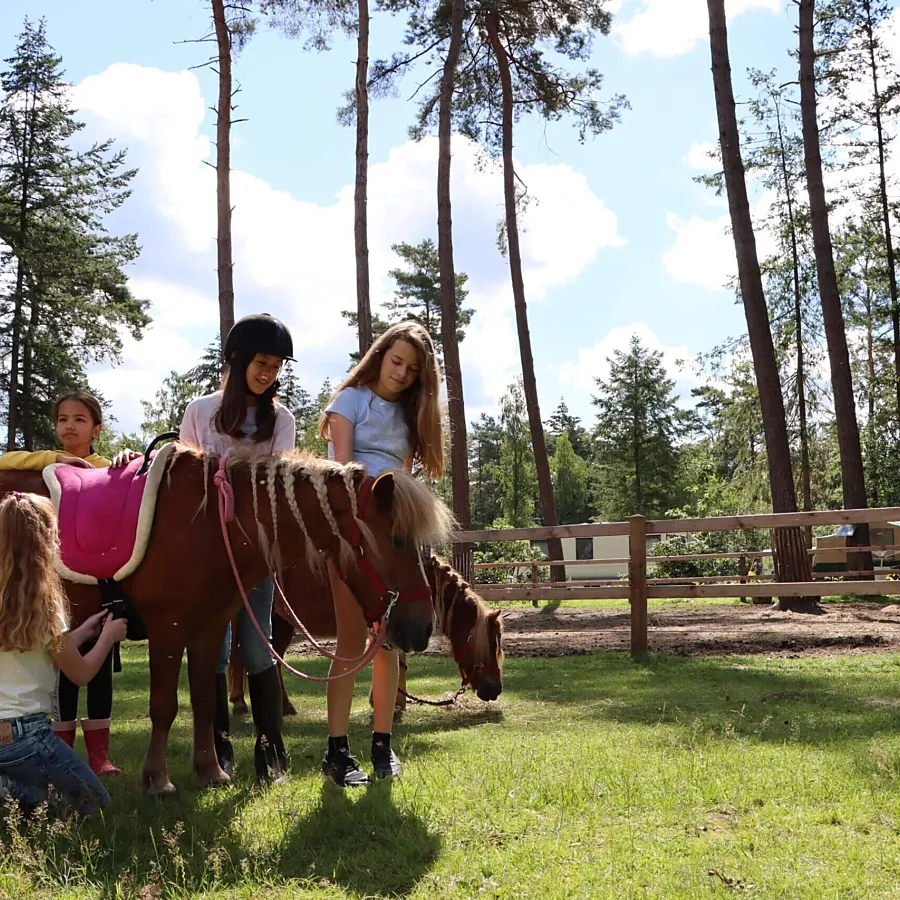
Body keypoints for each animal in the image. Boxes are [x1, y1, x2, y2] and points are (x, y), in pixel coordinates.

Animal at [0, 442, 454, 796]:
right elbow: (164, 705)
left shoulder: (209, 627)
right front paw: (158, 780)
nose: (422, 628)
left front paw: (209, 771)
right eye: (397, 539)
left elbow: (204, 699)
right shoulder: (168, 628)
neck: (207, 525)